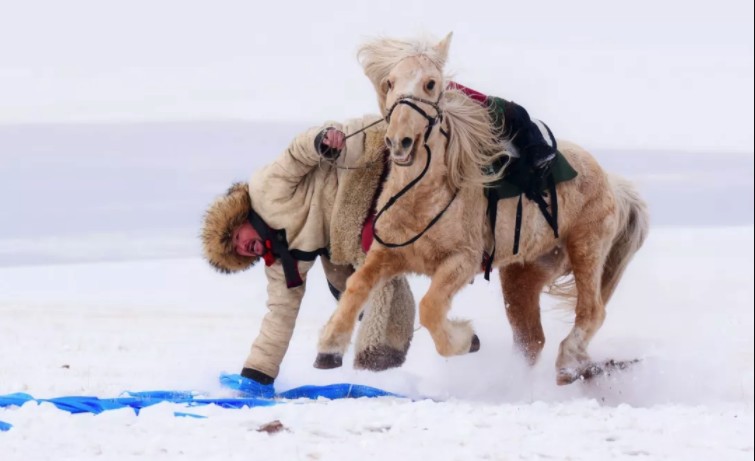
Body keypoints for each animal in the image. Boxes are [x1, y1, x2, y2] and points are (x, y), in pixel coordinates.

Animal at [314, 33, 648, 384]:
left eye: (431, 83)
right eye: (389, 82)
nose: (399, 141)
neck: (421, 197)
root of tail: (612, 183)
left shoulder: (462, 261)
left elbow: (431, 307)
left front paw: (465, 340)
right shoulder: (387, 254)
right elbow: (356, 285)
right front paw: (329, 346)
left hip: (587, 249)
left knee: (591, 312)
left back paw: (569, 363)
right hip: (522, 275)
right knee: (531, 338)